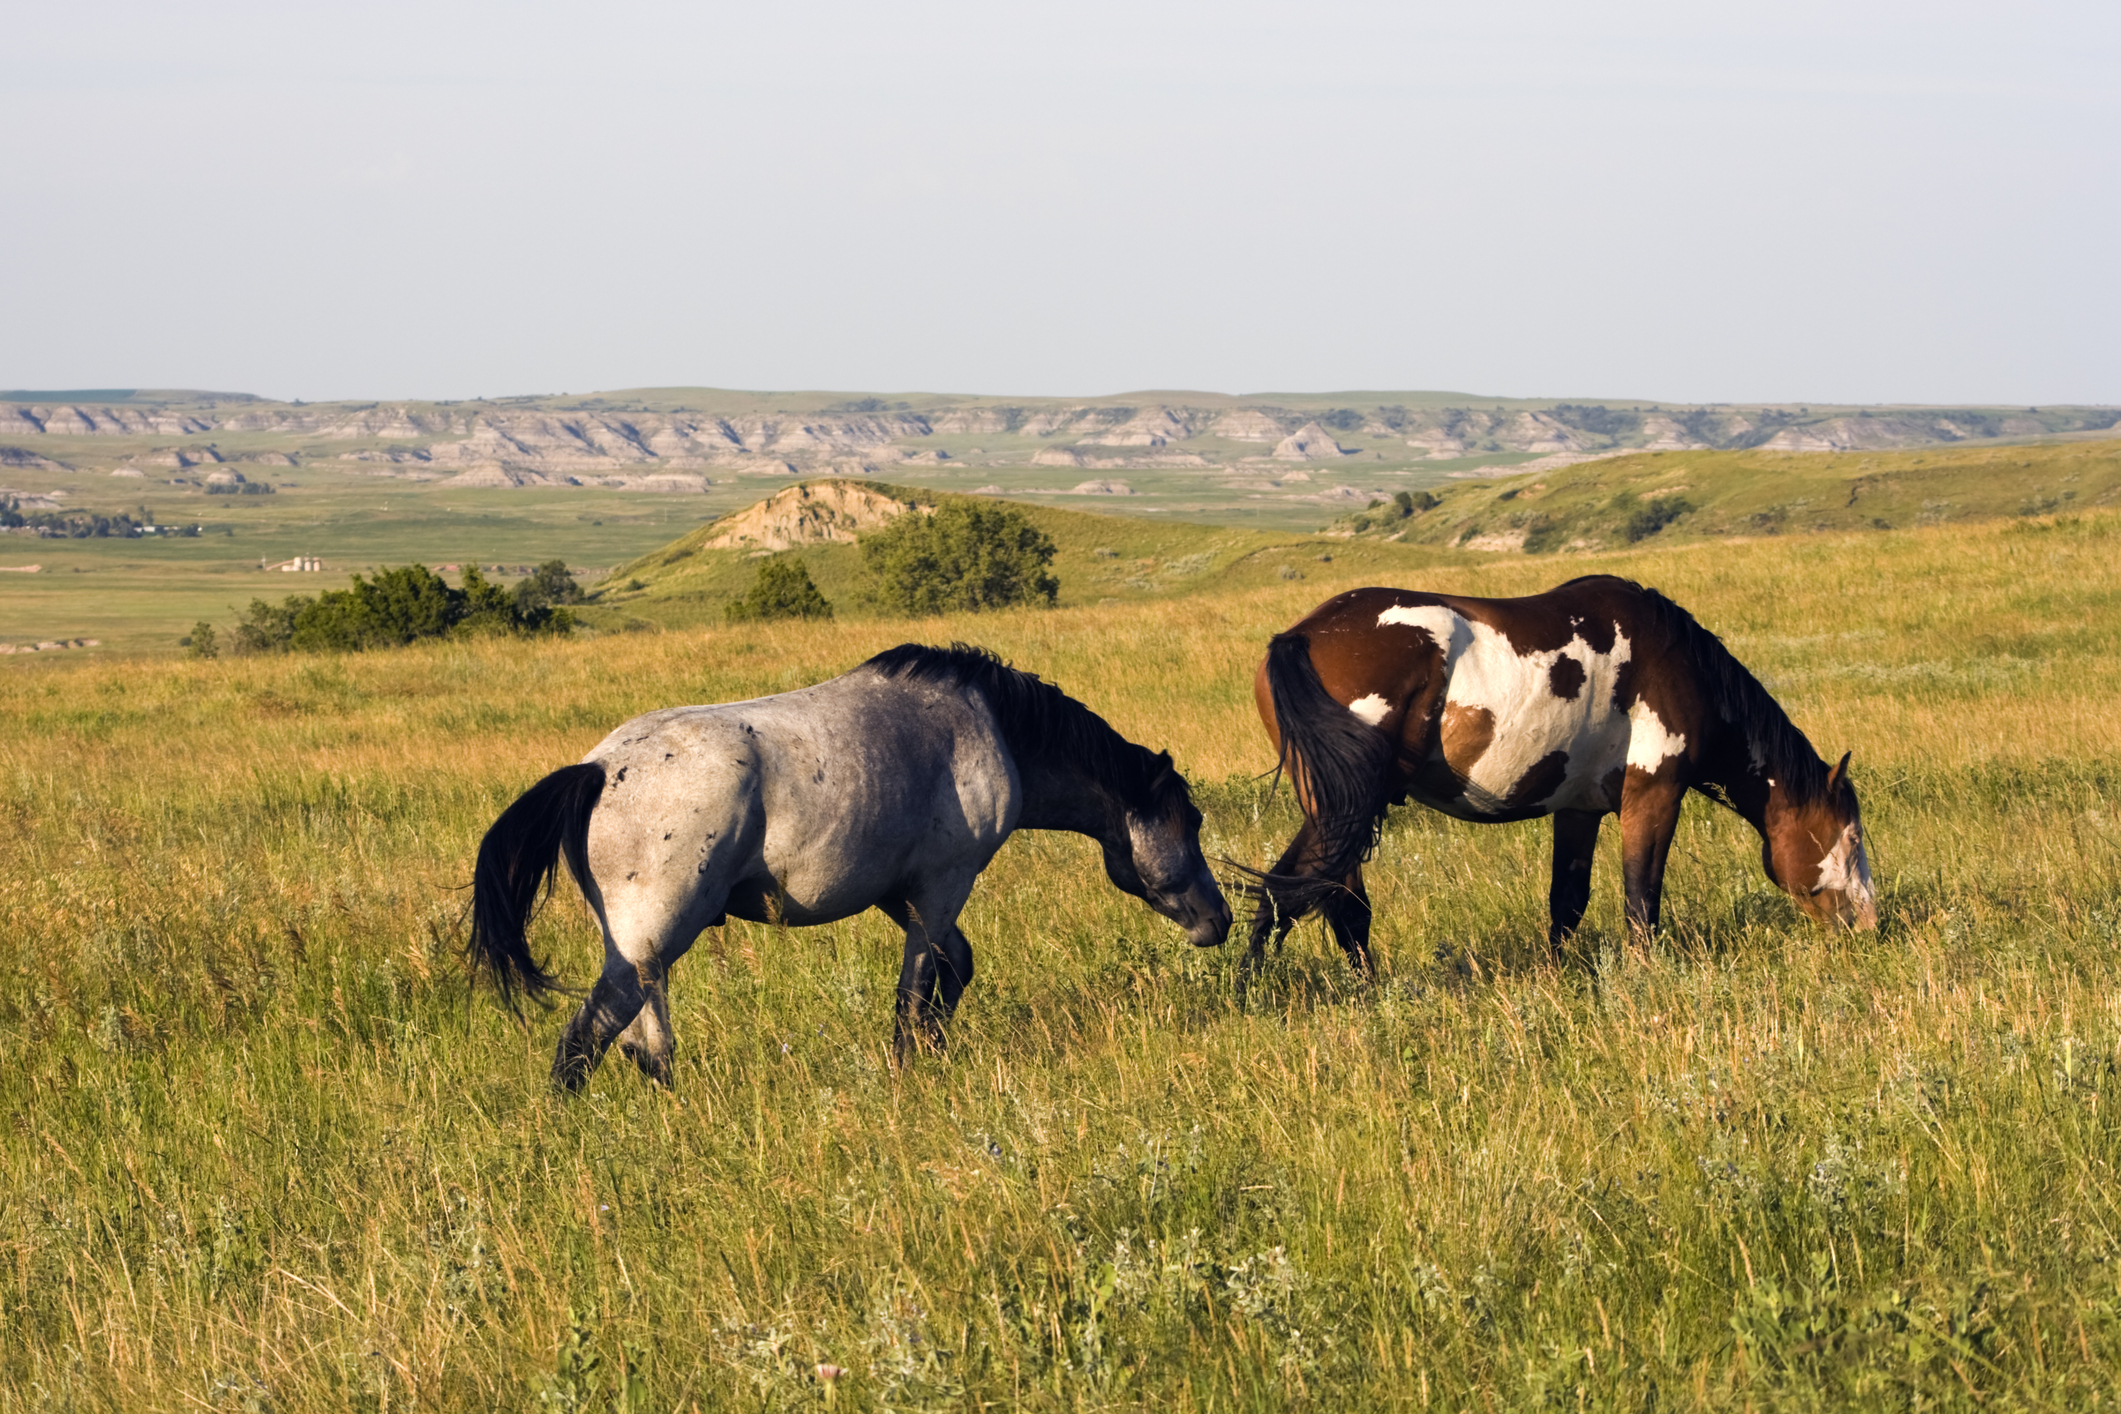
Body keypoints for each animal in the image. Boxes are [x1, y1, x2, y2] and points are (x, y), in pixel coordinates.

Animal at [464, 648, 1230, 1093]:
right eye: (1191, 823)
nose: (1218, 919)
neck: (992, 729)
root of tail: (595, 770)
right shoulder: (942, 886)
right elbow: (916, 990)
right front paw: (910, 1068)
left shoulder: (900, 892)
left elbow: (953, 970)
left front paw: (934, 1054)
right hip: (652, 944)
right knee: (584, 1042)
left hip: (639, 954)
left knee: (646, 1048)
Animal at [1247, 576, 1883, 975]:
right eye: (1852, 837)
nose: (1870, 925)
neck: (1675, 663)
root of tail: (1301, 635)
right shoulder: (1654, 796)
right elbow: (1641, 898)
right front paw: (1644, 975)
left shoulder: (1580, 809)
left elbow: (1567, 903)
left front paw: (1557, 978)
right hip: (1347, 809)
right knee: (1325, 896)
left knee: (1300, 890)